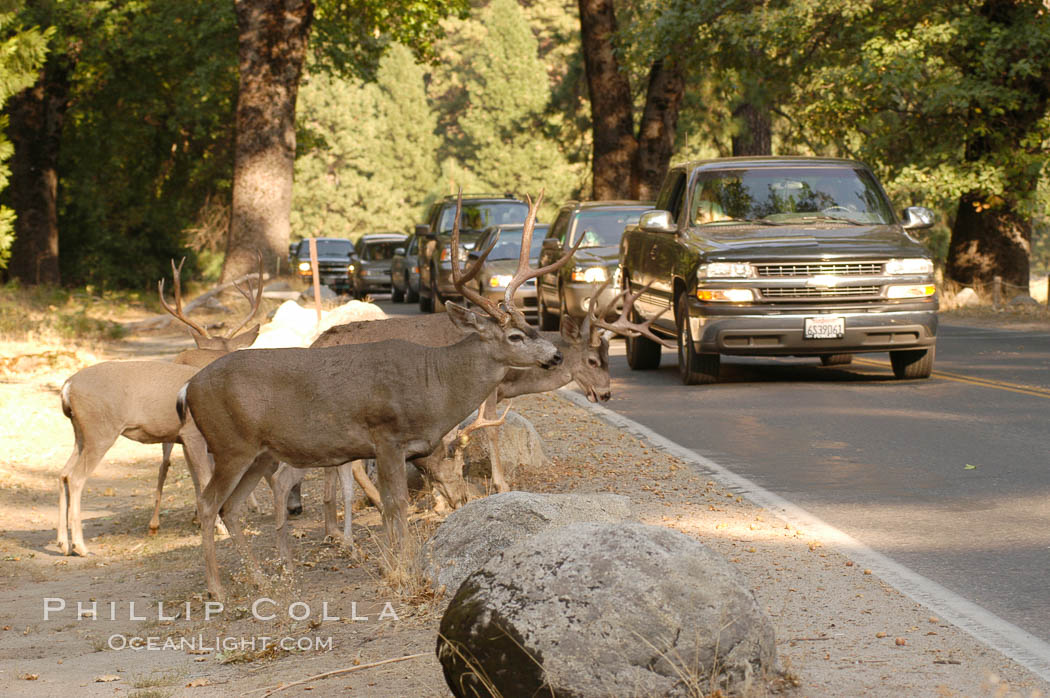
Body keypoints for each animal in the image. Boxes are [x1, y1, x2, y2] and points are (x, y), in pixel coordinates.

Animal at [55, 257, 264, 554]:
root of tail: (68, 386)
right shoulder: (192, 433)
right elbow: (204, 480)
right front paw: (219, 528)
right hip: (100, 430)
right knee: (75, 478)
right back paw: (81, 547)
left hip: (80, 432)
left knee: (62, 473)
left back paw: (63, 542)